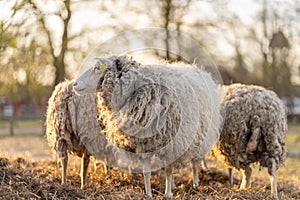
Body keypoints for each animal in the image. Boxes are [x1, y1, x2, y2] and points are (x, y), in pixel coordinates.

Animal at [72, 55, 223, 197]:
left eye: (97, 68)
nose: (74, 84)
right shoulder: (143, 143)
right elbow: (146, 172)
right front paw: (148, 194)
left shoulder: (172, 142)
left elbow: (169, 170)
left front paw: (168, 194)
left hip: (199, 136)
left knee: (195, 162)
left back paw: (196, 184)